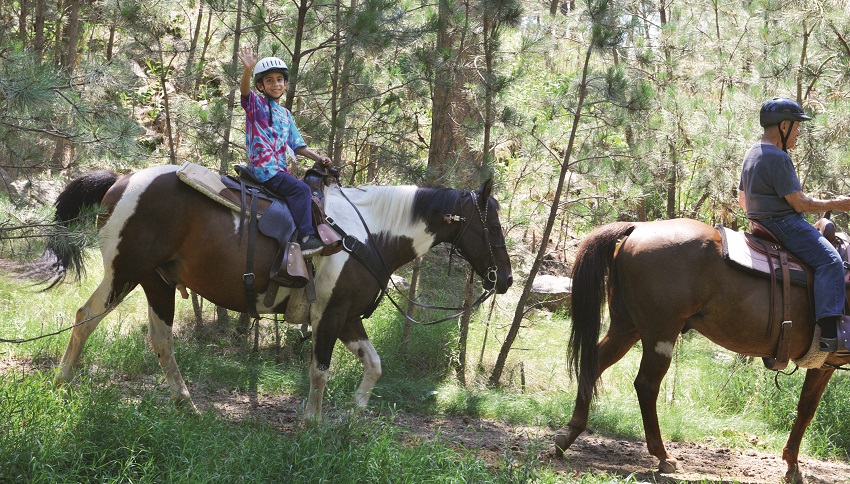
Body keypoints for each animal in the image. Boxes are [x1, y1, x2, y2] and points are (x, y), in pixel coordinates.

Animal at [43, 164, 510, 420]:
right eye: (492, 225)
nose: (503, 279)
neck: (365, 235)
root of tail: (120, 180)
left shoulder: (347, 317)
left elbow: (374, 365)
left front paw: (355, 411)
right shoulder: (330, 314)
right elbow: (319, 371)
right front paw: (312, 424)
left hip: (157, 281)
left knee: (161, 341)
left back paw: (186, 404)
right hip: (124, 272)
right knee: (85, 317)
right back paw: (62, 385)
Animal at [556, 219, 848, 484]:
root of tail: (638, 227)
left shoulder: (824, 364)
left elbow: (805, 408)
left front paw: (792, 466)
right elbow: (807, 411)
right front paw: (792, 466)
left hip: (625, 326)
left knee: (593, 363)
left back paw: (568, 435)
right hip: (660, 332)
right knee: (646, 385)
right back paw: (663, 456)